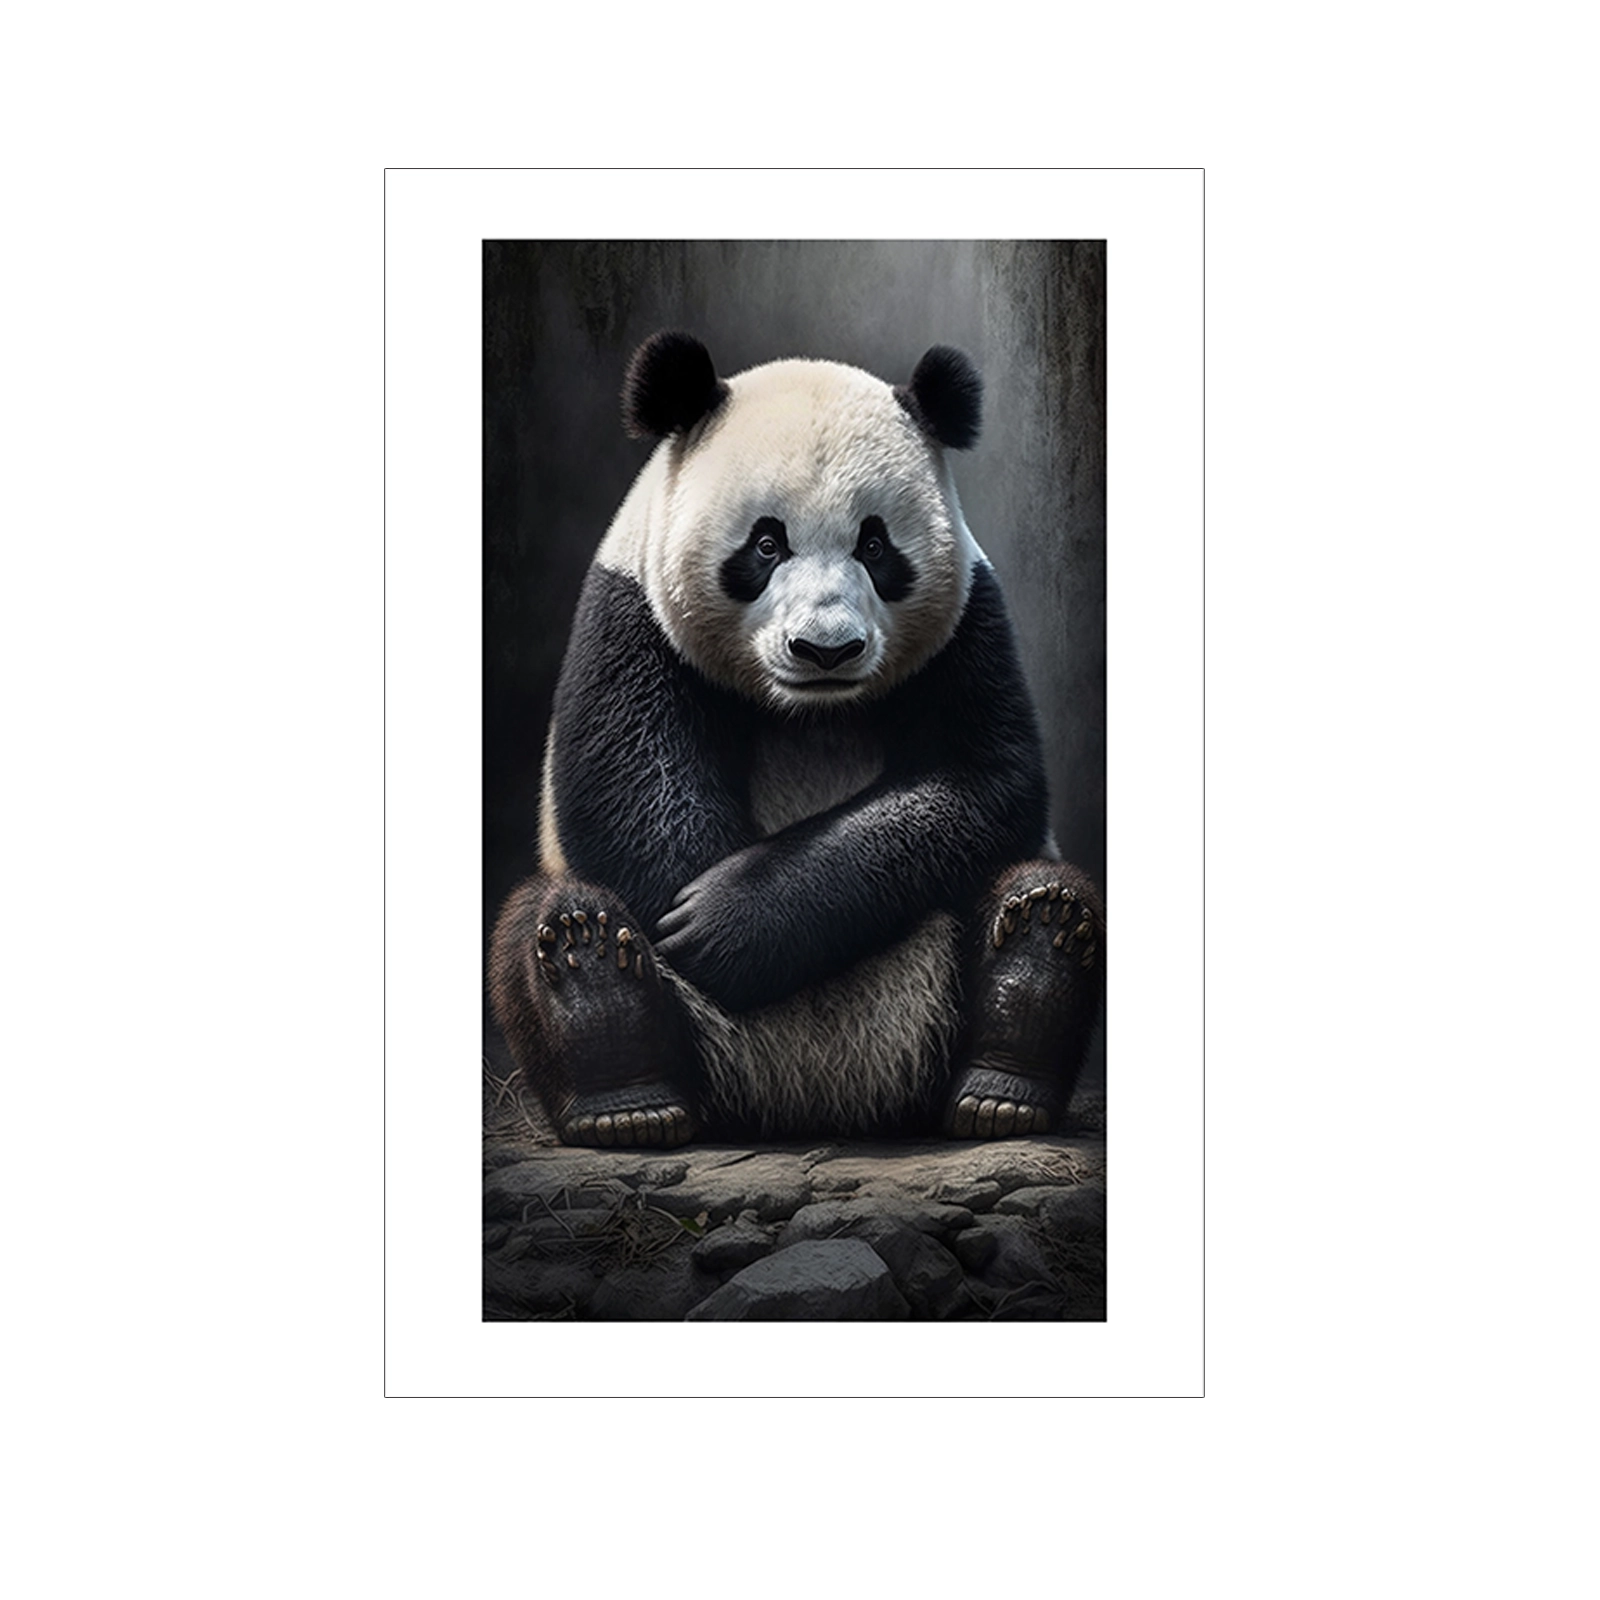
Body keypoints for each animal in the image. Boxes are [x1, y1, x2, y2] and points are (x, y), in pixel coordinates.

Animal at [489, 331, 1103, 1149]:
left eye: (875, 545)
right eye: (765, 544)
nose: (826, 650)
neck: (810, 712)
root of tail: (809, 1103)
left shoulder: (970, 623)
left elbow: (984, 781)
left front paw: (726, 922)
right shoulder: (630, 612)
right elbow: (633, 801)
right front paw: (699, 919)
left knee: (1035, 889)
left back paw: (1009, 1064)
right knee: (543, 921)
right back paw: (617, 1071)